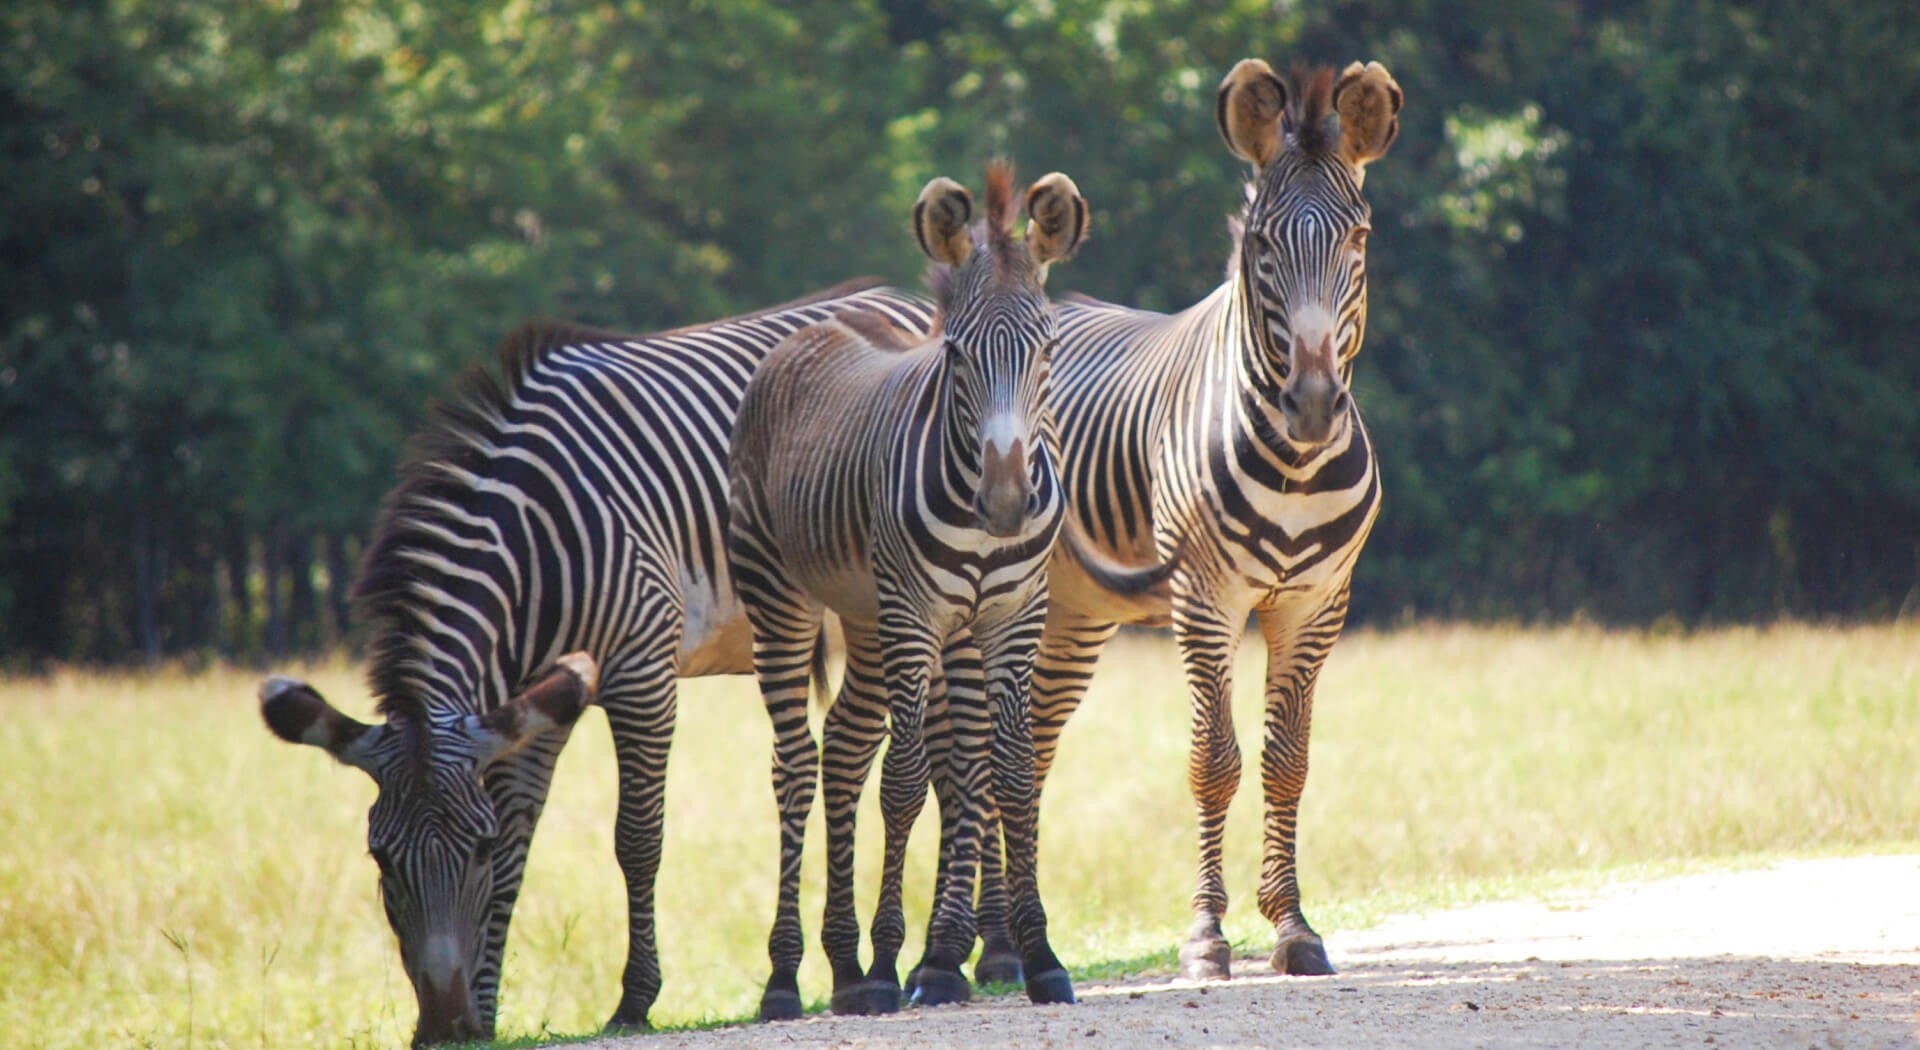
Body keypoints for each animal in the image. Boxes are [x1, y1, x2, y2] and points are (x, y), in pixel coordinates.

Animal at [257, 284, 936, 1044]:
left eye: (474, 848)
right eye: (380, 858)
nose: (444, 1026)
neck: (531, 547)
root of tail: (904, 296)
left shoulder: (642, 675)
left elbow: (635, 838)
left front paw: (634, 999)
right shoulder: (533, 706)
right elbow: (523, 836)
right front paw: (489, 1007)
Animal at [721, 164, 1167, 1021]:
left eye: (1047, 347)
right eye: (957, 353)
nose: (1006, 501)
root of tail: (818, 326)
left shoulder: (1012, 616)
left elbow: (1007, 770)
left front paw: (1035, 958)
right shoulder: (915, 612)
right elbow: (905, 781)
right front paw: (895, 962)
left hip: (864, 617)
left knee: (844, 748)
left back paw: (843, 969)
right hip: (783, 597)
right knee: (794, 765)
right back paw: (787, 978)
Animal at [906, 57, 1405, 990]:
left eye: (1358, 240)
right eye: (1262, 246)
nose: (1313, 404)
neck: (1296, 462)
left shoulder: (1317, 603)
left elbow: (1287, 761)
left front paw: (1292, 928)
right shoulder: (1203, 599)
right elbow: (1214, 762)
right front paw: (1207, 936)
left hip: (1068, 617)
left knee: (1022, 753)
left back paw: (1002, 946)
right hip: (978, 604)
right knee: (972, 761)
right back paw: (973, 949)